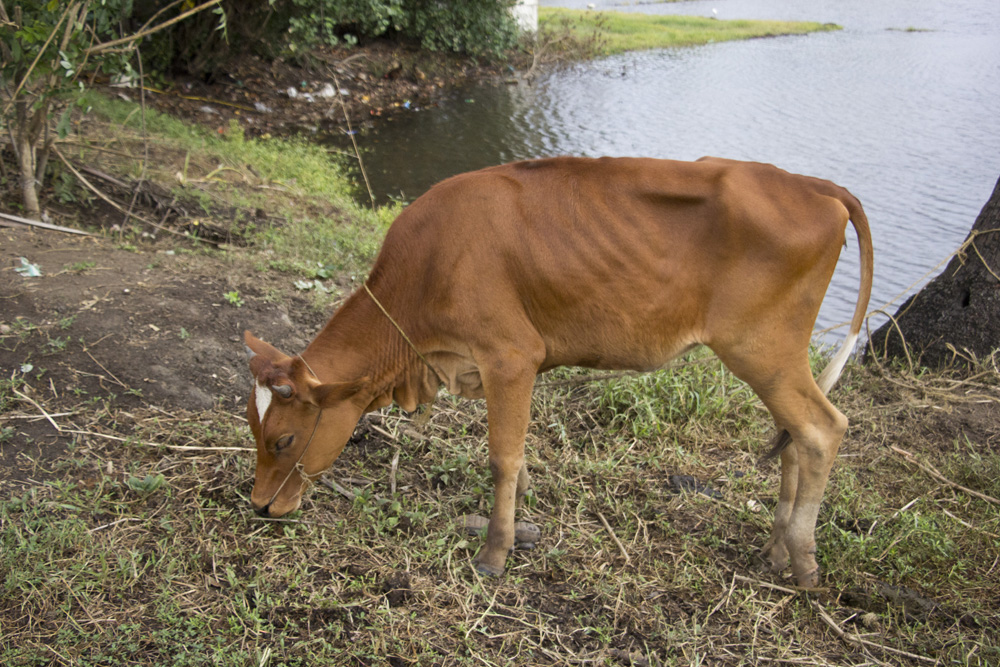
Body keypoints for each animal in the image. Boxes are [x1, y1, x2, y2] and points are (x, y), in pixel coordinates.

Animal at [246, 155, 872, 584]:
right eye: (253, 432)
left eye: (284, 439)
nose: (260, 506)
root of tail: (814, 185)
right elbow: (517, 453)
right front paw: (521, 515)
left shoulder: (510, 355)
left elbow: (501, 457)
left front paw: (495, 553)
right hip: (773, 359)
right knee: (793, 438)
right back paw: (775, 549)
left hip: (761, 349)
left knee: (823, 429)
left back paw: (804, 561)